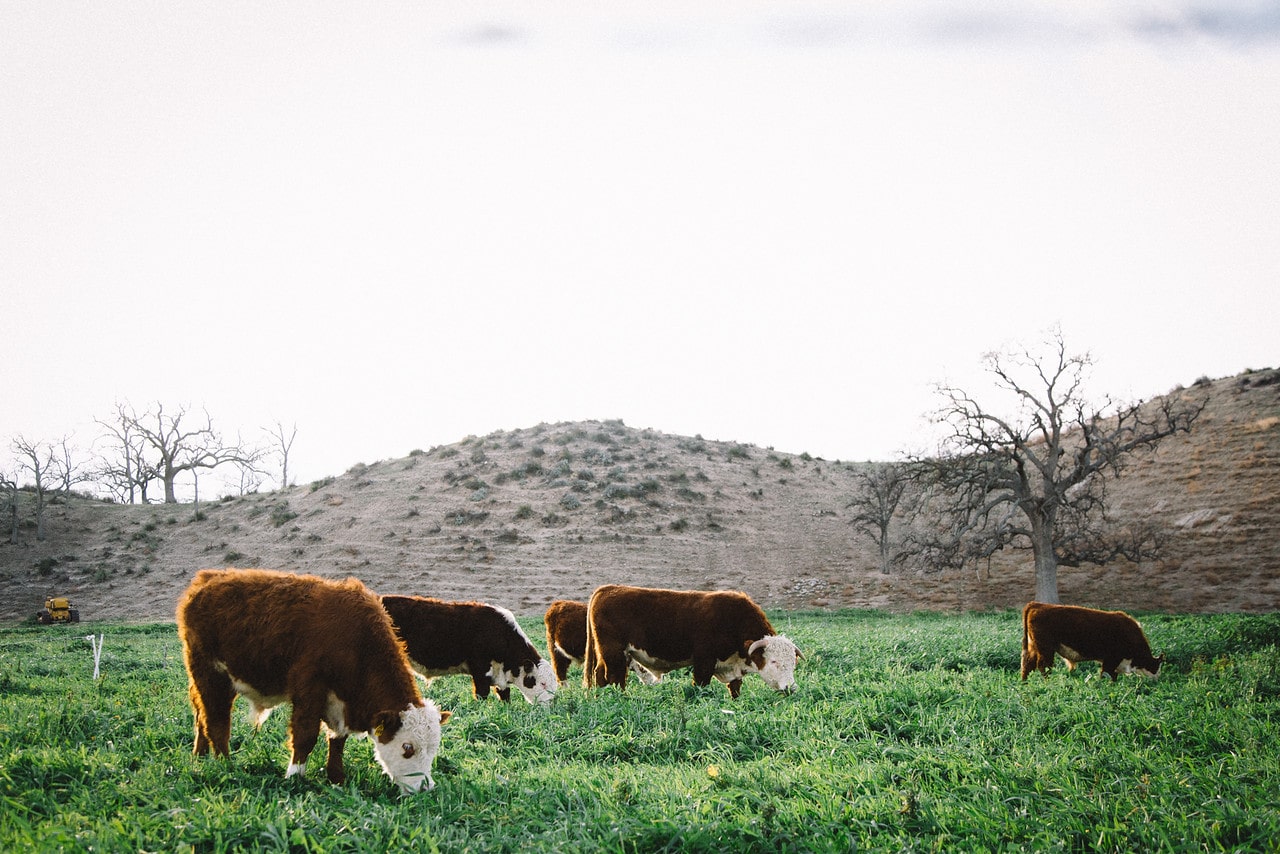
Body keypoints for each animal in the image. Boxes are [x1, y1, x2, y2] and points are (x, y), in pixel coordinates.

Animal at [176, 569, 451, 794]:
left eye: (433, 748)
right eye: (408, 748)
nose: (425, 788)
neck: (355, 641)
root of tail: (208, 578)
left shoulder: (341, 700)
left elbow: (337, 739)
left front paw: (336, 778)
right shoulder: (309, 688)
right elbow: (305, 735)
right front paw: (294, 777)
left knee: (201, 716)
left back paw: (199, 757)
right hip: (210, 675)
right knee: (216, 722)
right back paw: (225, 765)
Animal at [582, 584, 801, 698]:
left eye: (793, 663)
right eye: (774, 661)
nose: (790, 688)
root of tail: (608, 589)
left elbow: (735, 688)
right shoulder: (704, 661)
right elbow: (700, 684)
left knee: (601, 674)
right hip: (613, 652)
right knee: (613, 676)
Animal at [1020, 601, 1165, 681]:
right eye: (1156, 667)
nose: (1157, 680)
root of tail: (1037, 605)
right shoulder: (1111, 659)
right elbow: (1107, 674)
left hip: (1034, 647)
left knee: (1027, 664)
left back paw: (1024, 683)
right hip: (1046, 649)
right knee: (1043, 665)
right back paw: (1047, 682)